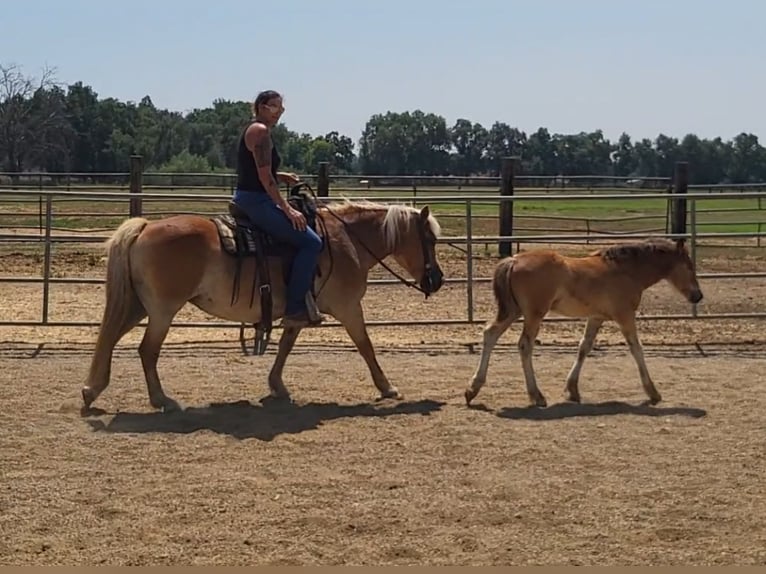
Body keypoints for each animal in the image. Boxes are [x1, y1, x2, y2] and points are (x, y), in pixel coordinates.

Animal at [79, 199, 444, 414]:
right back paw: (161, 400)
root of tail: (144, 228)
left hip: (139, 305)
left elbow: (285, 346)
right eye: (430, 239)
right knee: (146, 350)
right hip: (162, 311)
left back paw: (92, 390)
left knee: (110, 338)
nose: (437, 279)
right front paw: (387, 387)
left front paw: (277, 386)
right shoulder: (349, 308)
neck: (347, 241)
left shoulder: (299, 311)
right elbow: (366, 346)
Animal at [464, 238, 704, 410]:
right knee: (524, 345)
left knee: (490, 334)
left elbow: (584, 348)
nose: (698, 296)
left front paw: (572, 390)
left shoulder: (596, 317)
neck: (626, 270)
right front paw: (653, 392)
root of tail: (513, 260)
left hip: (513, 311)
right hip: (534, 314)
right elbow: (637, 349)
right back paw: (537, 396)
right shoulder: (625, 316)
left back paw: (472, 389)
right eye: (689, 266)